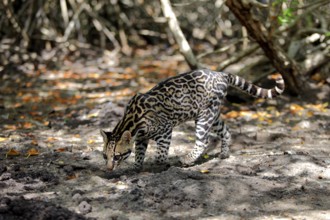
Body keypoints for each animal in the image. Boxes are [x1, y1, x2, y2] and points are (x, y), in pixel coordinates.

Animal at [100, 69, 284, 170]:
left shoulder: (165, 131)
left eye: (116, 156)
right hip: (212, 115)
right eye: (104, 156)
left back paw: (187, 159)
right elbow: (139, 154)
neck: (131, 122)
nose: (108, 169)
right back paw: (224, 153)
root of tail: (221, 73)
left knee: (203, 141)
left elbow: (160, 154)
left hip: (204, 117)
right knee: (226, 131)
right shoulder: (141, 138)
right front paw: (137, 168)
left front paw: (161, 165)